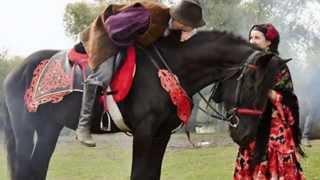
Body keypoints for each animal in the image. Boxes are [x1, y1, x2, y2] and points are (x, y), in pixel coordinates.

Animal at [1, 30, 282, 179]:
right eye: (251, 84)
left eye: (270, 89)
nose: (245, 134)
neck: (168, 70)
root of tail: (14, 73)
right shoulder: (144, 133)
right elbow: (138, 174)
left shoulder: (161, 134)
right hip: (25, 131)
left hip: (48, 129)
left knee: (37, 168)